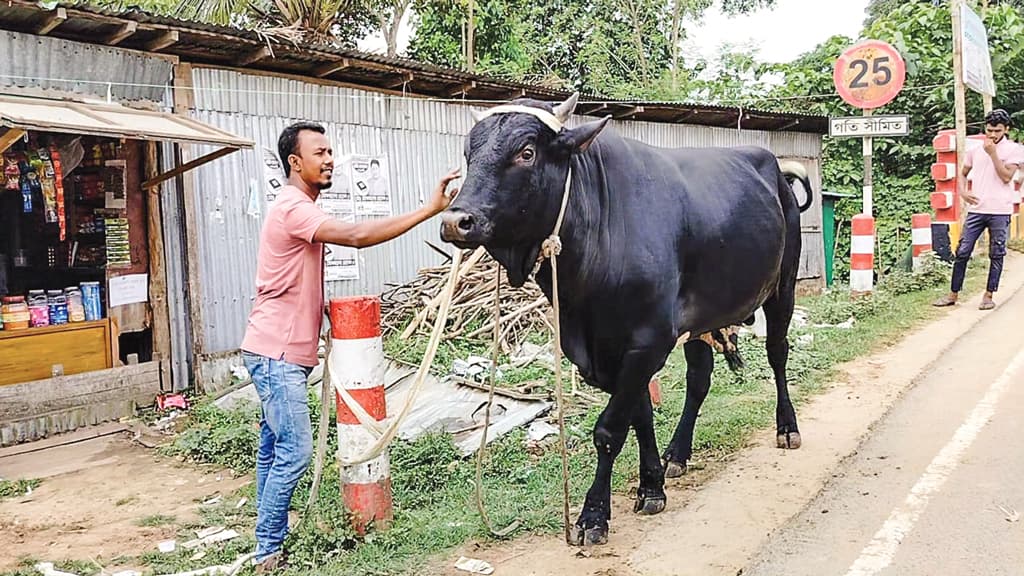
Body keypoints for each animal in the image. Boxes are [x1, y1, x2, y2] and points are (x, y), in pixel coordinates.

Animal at [440, 94, 815, 541]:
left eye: (526, 152)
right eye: (469, 154)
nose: (455, 221)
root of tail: (776, 169)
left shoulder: (647, 340)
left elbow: (610, 429)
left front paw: (593, 514)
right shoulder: (610, 349)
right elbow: (640, 415)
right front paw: (652, 484)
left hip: (783, 288)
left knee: (778, 354)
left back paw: (787, 428)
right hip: (702, 320)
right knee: (699, 379)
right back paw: (678, 453)